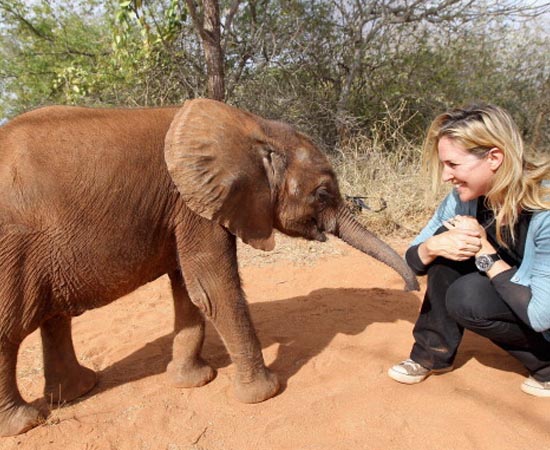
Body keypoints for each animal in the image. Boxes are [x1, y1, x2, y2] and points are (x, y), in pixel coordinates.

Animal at [0, 98, 416, 436]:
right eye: (323, 194)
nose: (412, 287)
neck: (251, 126)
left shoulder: (187, 206)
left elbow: (190, 289)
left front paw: (192, 381)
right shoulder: (194, 205)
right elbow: (212, 286)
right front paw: (265, 393)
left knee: (53, 318)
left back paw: (78, 390)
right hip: (12, 252)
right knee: (10, 329)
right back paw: (26, 423)